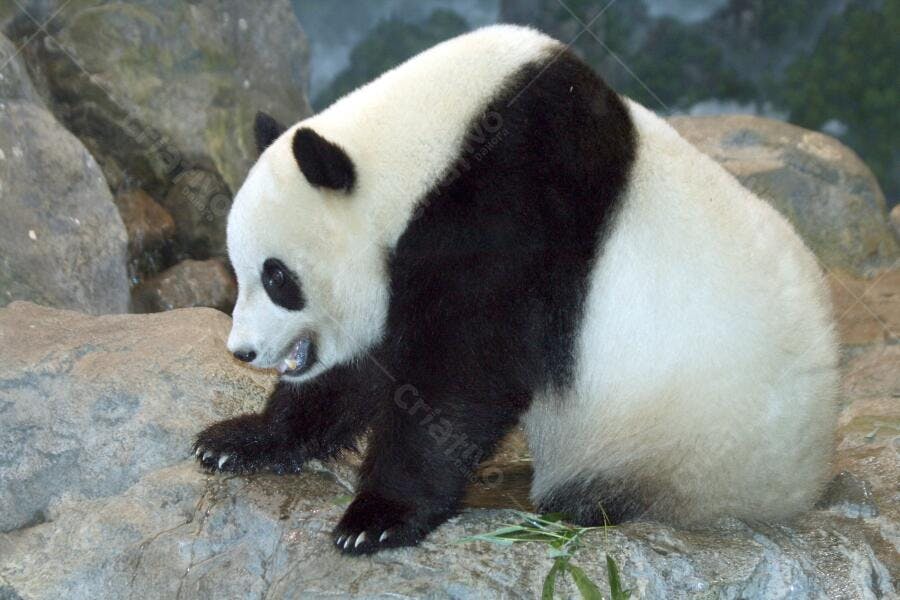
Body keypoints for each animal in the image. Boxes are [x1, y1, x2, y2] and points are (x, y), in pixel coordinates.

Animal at [194, 25, 839, 555]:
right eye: (239, 271)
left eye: (278, 277)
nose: (241, 351)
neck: (426, 147)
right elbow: (368, 368)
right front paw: (240, 440)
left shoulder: (514, 204)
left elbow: (460, 372)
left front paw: (376, 517)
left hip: (691, 444)